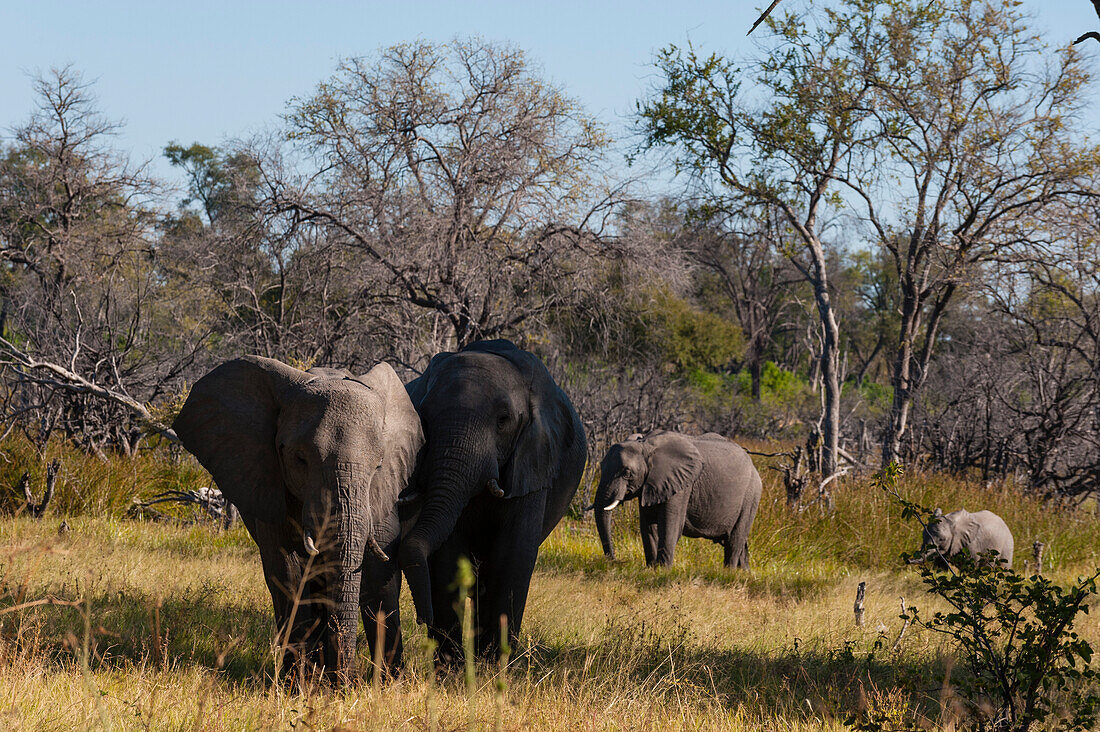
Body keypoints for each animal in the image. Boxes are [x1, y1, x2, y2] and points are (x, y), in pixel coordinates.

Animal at [171, 356, 420, 682]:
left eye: (378, 464)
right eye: (299, 459)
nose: (347, 684)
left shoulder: (383, 490)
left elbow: (379, 572)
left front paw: (387, 685)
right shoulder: (268, 481)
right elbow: (287, 570)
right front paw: (300, 686)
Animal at [400, 339, 589, 660]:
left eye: (503, 421)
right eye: (423, 419)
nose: (421, 618)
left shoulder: (534, 459)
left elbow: (512, 557)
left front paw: (494, 664)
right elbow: (447, 556)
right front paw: (451, 665)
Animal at [589, 431, 761, 567]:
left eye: (626, 473)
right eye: (601, 466)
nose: (613, 560)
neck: (645, 445)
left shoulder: (682, 485)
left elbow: (670, 524)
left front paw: (663, 570)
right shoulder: (652, 483)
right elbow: (648, 525)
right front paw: (651, 569)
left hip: (751, 497)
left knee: (734, 541)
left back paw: (728, 573)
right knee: (741, 546)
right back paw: (743, 574)